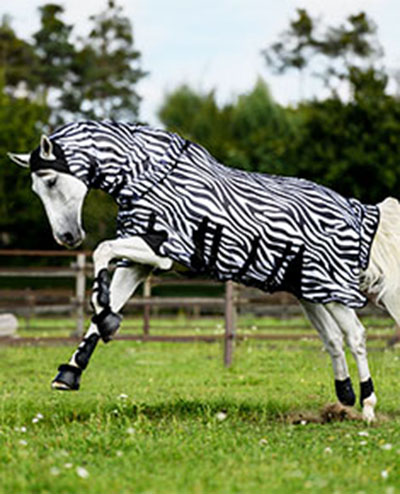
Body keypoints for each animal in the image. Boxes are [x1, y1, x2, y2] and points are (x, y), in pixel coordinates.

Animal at [8, 118, 400, 420]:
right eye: (36, 187)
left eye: (51, 181)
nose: (68, 237)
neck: (151, 179)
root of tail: (359, 211)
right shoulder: (140, 262)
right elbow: (106, 299)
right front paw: (71, 370)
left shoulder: (163, 248)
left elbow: (103, 252)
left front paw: (105, 316)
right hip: (309, 291)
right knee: (333, 339)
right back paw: (344, 396)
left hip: (330, 289)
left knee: (356, 335)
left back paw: (367, 406)